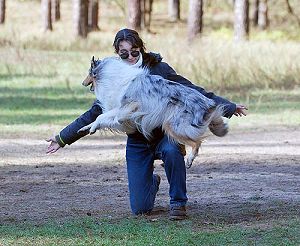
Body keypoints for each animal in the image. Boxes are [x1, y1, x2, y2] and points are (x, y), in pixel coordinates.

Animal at [79, 56, 227, 168]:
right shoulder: (116, 108)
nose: (82, 83)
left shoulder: (128, 106)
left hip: (174, 126)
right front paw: (86, 128)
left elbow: (105, 117)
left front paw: (96, 126)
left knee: (197, 142)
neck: (110, 77)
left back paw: (189, 160)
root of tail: (207, 102)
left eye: (88, 72)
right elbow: (100, 118)